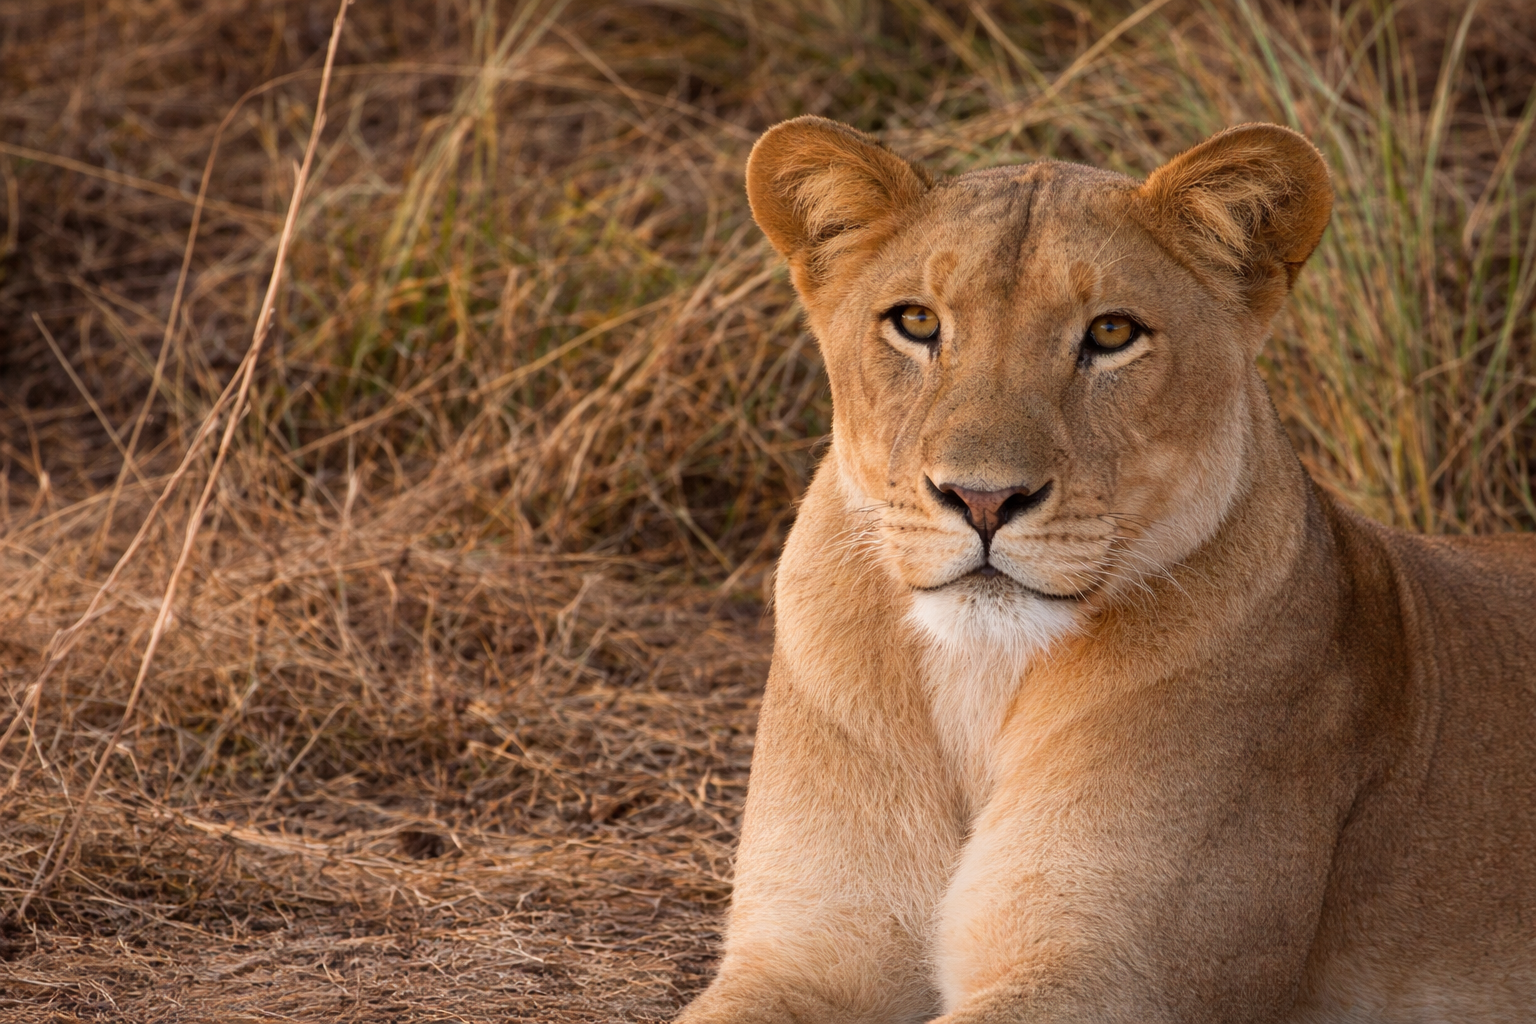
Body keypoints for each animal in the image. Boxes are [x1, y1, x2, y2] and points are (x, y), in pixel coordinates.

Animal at [672, 116, 1536, 1024]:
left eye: (1112, 334)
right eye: (915, 321)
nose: (983, 498)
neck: (979, 680)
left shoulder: (1112, 973)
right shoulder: (806, 952)